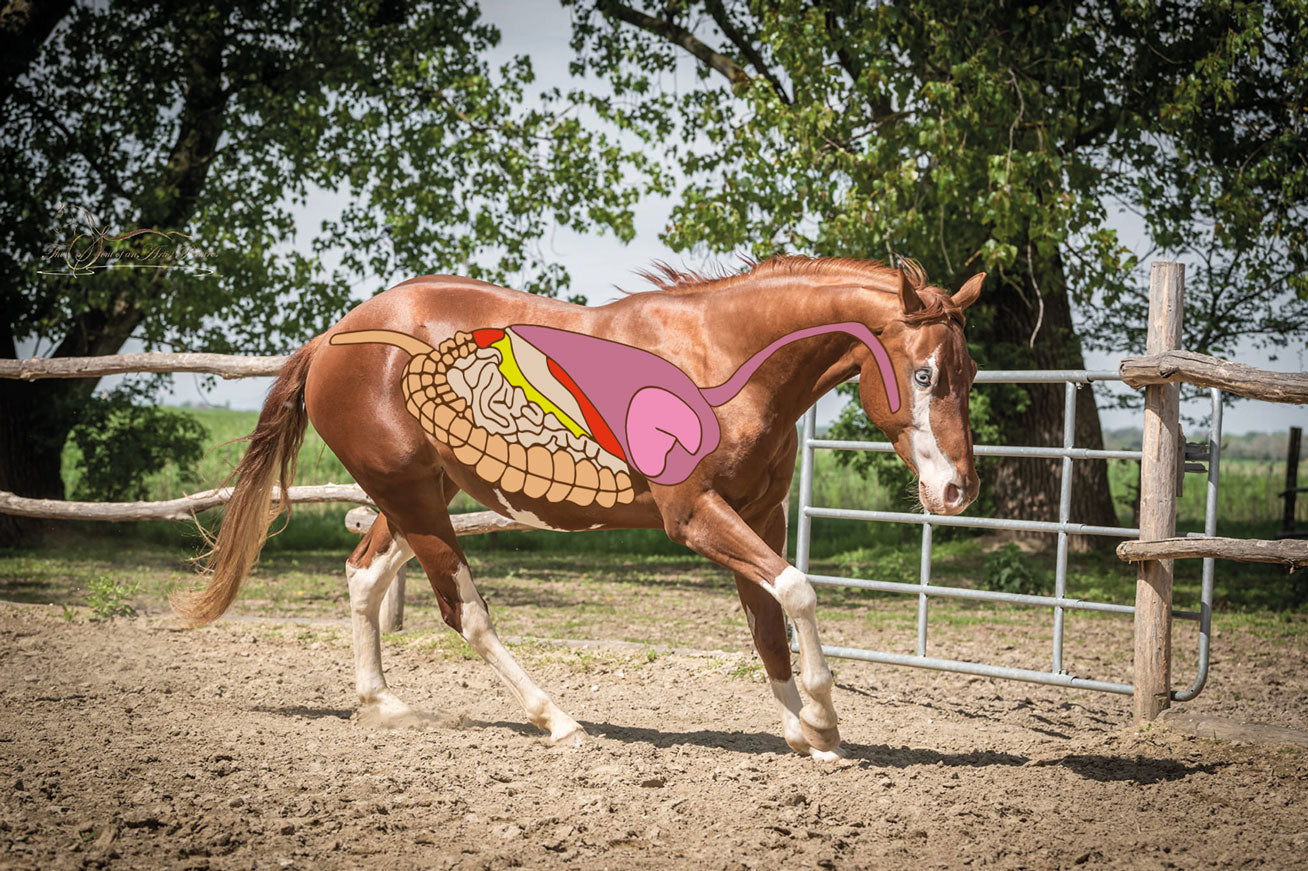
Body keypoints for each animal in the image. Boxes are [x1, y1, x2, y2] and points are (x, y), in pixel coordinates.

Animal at [174, 255, 984, 760]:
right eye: (923, 373)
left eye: (970, 372)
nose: (958, 490)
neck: (722, 359)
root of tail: (332, 338)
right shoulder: (695, 515)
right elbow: (798, 590)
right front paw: (822, 716)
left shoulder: (762, 513)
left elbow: (767, 625)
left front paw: (805, 735)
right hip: (413, 499)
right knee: (466, 613)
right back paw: (557, 720)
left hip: (420, 495)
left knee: (365, 574)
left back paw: (382, 704)